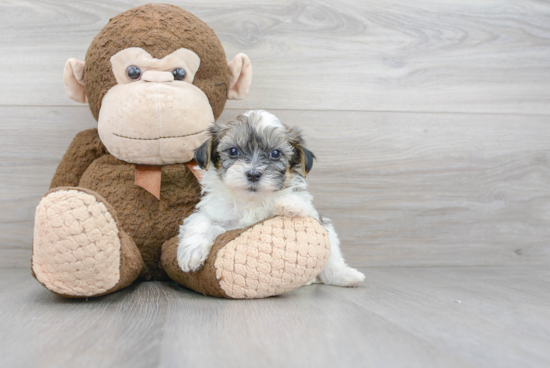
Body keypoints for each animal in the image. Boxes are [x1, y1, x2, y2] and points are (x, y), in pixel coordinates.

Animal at [178, 109, 366, 288]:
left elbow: (301, 204)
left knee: (332, 261)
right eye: (233, 151)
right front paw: (191, 253)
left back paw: (347, 276)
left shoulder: (311, 212)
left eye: (275, 153)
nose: (253, 174)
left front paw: (288, 203)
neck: (252, 200)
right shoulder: (215, 212)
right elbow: (200, 220)